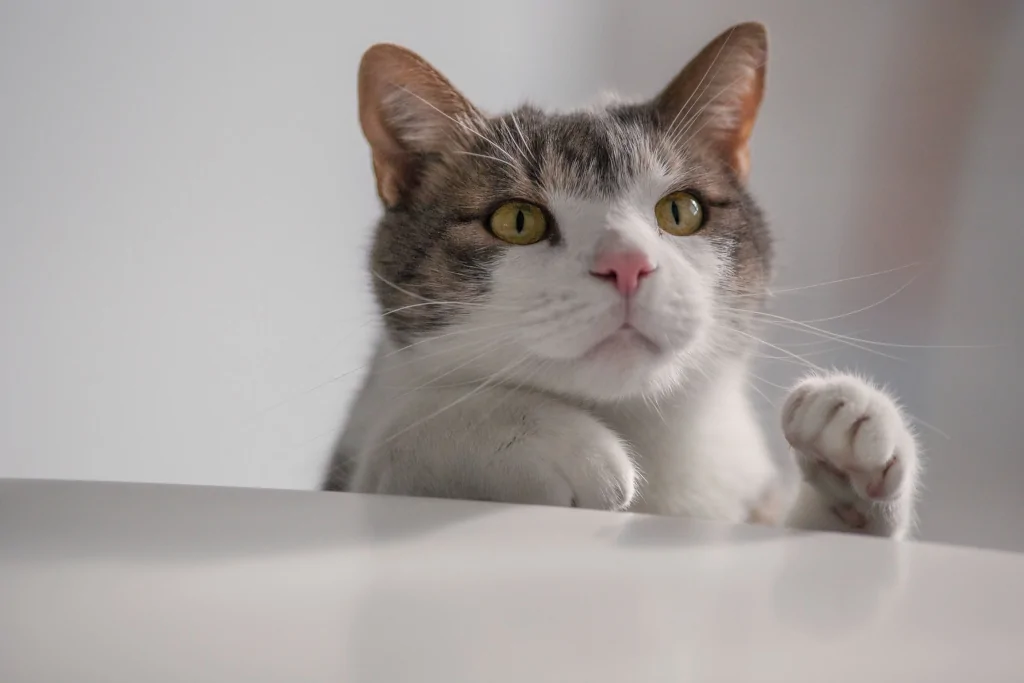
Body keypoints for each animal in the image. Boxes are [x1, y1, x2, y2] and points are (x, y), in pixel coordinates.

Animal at [323, 22, 925, 540]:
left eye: (681, 211)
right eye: (517, 220)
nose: (628, 264)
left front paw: (846, 444)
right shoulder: (356, 461)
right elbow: (394, 446)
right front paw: (553, 439)